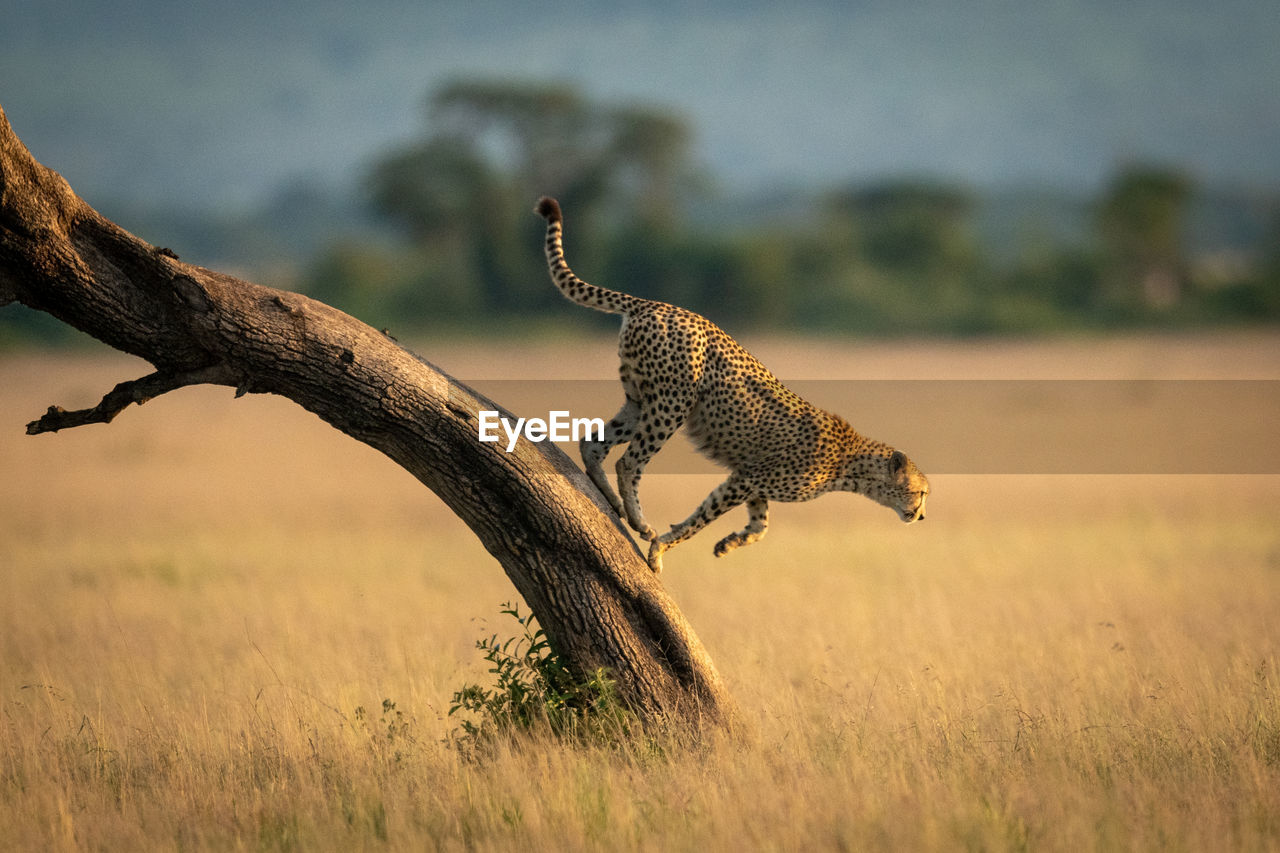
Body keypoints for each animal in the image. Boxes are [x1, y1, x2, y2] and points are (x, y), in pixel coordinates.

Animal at [532, 197, 931, 571]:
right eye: (922, 492)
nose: (922, 515)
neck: (850, 464)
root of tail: (653, 304)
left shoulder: (752, 480)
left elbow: (760, 526)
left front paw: (728, 543)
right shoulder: (745, 479)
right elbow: (701, 519)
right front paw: (660, 549)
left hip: (640, 399)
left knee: (592, 442)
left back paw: (614, 503)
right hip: (672, 403)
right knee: (629, 462)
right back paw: (639, 521)